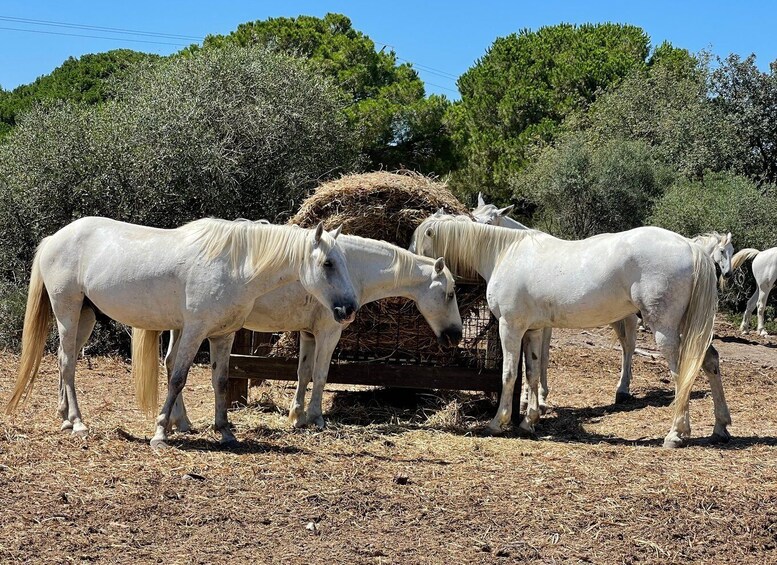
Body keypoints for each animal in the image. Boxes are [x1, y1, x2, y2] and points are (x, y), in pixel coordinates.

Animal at [4, 214, 358, 448]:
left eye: (343, 261)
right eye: (328, 263)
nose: (349, 309)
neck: (236, 265)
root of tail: (55, 238)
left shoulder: (222, 335)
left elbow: (220, 381)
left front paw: (225, 430)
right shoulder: (194, 331)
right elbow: (177, 378)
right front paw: (161, 432)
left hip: (85, 316)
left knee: (65, 361)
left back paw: (65, 417)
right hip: (67, 311)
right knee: (66, 362)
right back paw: (78, 423)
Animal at [139, 234, 460, 428]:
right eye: (450, 293)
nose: (455, 335)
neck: (353, 270)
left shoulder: (308, 334)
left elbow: (303, 374)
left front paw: (298, 416)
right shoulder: (329, 333)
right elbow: (320, 375)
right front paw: (316, 418)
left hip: (181, 326)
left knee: (171, 363)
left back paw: (180, 422)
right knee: (175, 366)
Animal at [410, 214, 720, 448]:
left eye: (418, 238)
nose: (410, 260)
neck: (504, 253)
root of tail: (691, 247)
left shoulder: (510, 327)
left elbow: (509, 375)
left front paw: (499, 422)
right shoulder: (534, 330)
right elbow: (533, 374)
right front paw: (529, 421)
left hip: (665, 330)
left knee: (682, 374)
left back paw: (676, 435)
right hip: (690, 328)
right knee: (710, 360)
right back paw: (721, 428)